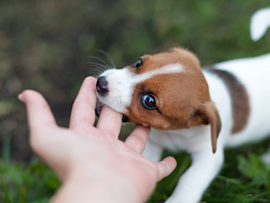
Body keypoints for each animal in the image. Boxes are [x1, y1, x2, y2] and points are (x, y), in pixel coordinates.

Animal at [94, 7, 270, 203]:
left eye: (149, 101)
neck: (175, 132)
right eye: (138, 62)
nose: (101, 82)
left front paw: (178, 200)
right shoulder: (153, 144)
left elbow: (189, 180)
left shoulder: (208, 157)